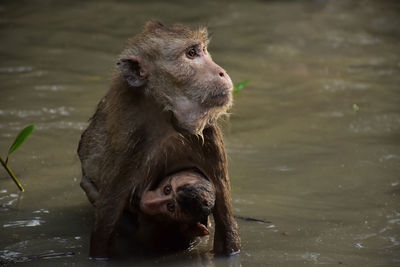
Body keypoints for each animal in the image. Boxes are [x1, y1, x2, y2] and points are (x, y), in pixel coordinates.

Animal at [78, 20, 241, 260]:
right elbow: (103, 234)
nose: (221, 72)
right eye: (191, 53)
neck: (166, 114)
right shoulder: (128, 143)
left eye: (203, 49)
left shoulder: (209, 136)